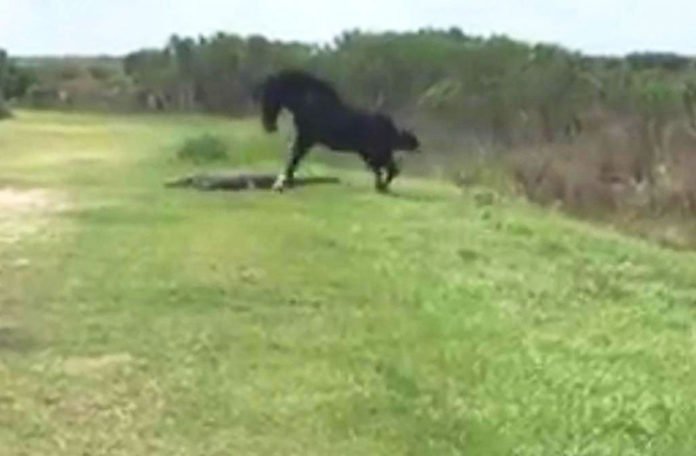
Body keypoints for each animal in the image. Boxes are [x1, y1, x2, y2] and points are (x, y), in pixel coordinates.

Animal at [254, 70, 418, 192]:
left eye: (268, 95)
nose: (269, 126)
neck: (308, 102)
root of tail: (390, 125)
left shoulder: (306, 139)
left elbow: (294, 158)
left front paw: (282, 183)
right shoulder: (303, 138)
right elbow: (294, 157)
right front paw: (284, 181)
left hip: (377, 153)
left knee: (390, 169)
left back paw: (381, 187)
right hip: (370, 154)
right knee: (386, 169)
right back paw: (380, 187)